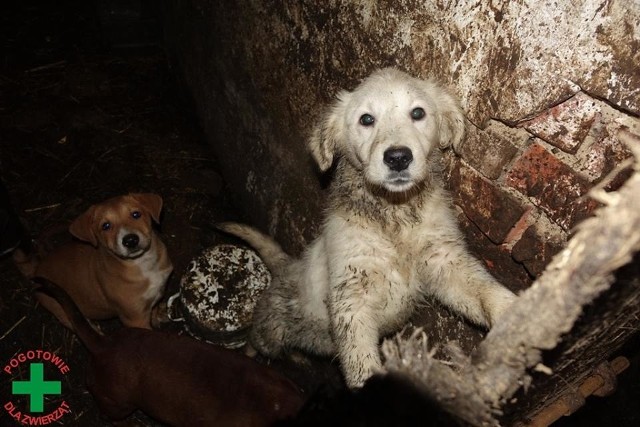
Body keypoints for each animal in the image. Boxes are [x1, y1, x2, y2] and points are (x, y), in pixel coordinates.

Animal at [219, 67, 516, 392]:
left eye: (418, 113)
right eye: (366, 119)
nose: (398, 157)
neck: (394, 216)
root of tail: (285, 266)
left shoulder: (444, 260)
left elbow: (482, 288)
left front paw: (516, 312)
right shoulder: (351, 294)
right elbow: (360, 361)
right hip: (271, 331)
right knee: (254, 343)